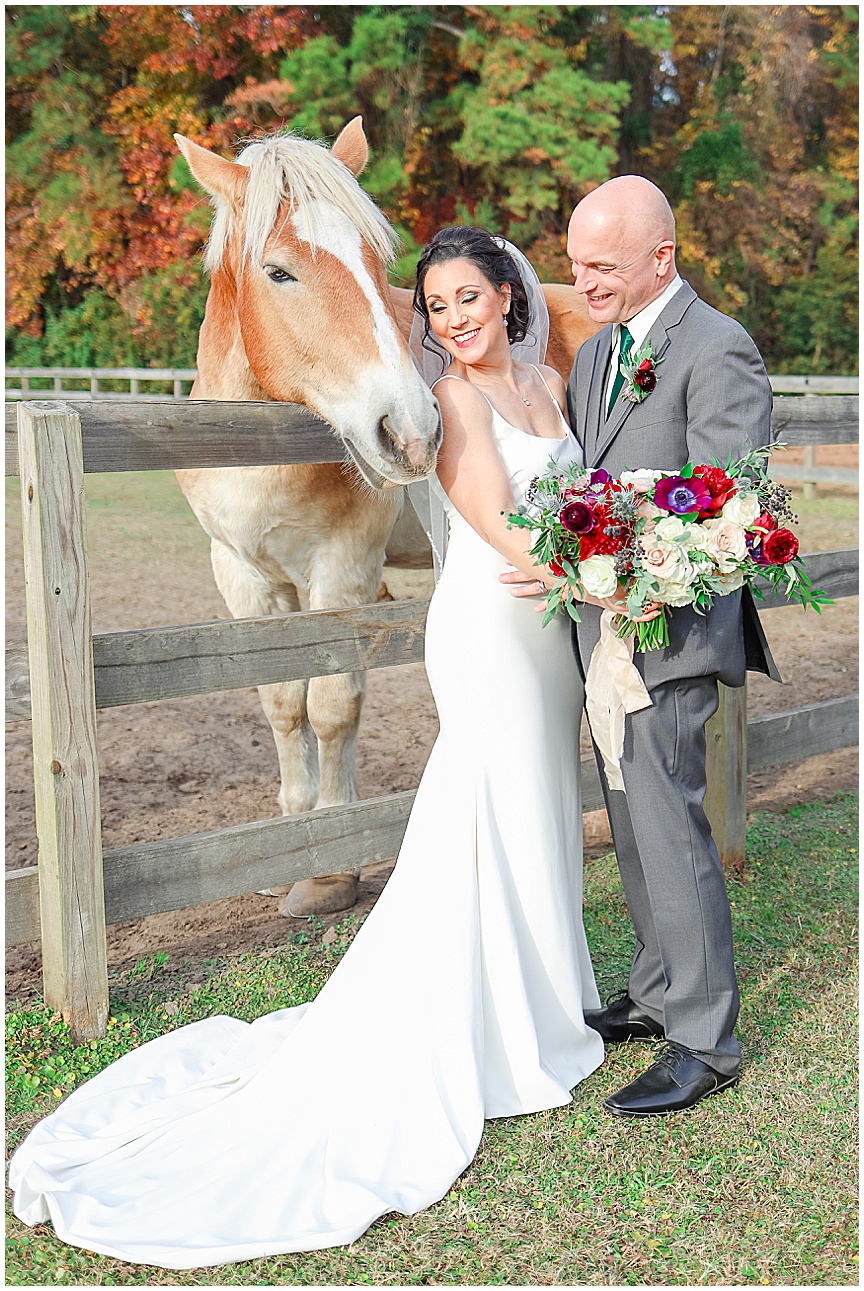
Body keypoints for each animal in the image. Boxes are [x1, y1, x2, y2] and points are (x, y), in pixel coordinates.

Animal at [171, 118, 596, 919]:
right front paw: (291, 842)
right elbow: (283, 702)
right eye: (279, 272)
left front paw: (332, 870)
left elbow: (333, 702)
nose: (412, 429)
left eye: (376, 259)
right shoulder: (242, 576)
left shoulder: (344, 567)